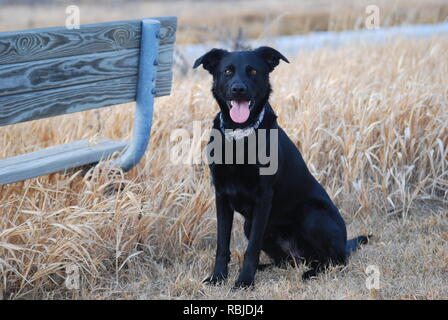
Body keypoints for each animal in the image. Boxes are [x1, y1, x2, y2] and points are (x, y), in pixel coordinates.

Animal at [194, 46, 370, 288]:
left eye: (253, 71)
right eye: (228, 71)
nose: (238, 89)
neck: (240, 136)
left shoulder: (263, 196)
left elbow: (251, 249)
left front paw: (244, 281)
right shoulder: (221, 195)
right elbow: (222, 245)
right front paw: (218, 277)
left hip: (312, 214)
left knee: (337, 260)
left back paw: (311, 273)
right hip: (250, 225)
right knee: (287, 261)